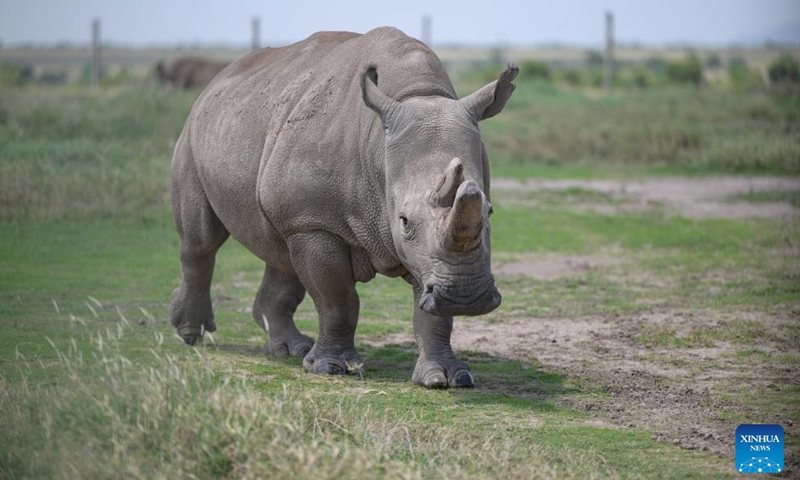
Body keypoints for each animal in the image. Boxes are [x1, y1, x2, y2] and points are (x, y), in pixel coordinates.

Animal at [170, 27, 517, 388]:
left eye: (489, 211)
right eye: (404, 220)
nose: (465, 296)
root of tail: (218, 81)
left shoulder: (426, 255)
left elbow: (432, 312)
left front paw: (446, 378)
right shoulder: (315, 221)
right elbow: (337, 300)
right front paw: (330, 368)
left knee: (279, 251)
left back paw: (288, 349)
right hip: (195, 134)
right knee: (200, 242)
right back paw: (192, 335)